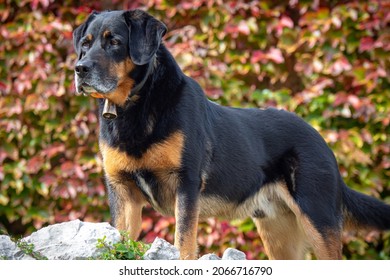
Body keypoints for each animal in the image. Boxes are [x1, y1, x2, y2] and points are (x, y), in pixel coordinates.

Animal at [72, 9, 390, 260]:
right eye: (85, 44)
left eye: (114, 42)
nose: (79, 69)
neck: (137, 103)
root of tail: (321, 139)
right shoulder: (122, 190)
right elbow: (120, 239)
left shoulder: (185, 184)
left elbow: (183, 240)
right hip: (278, 233)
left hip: (318, 217)